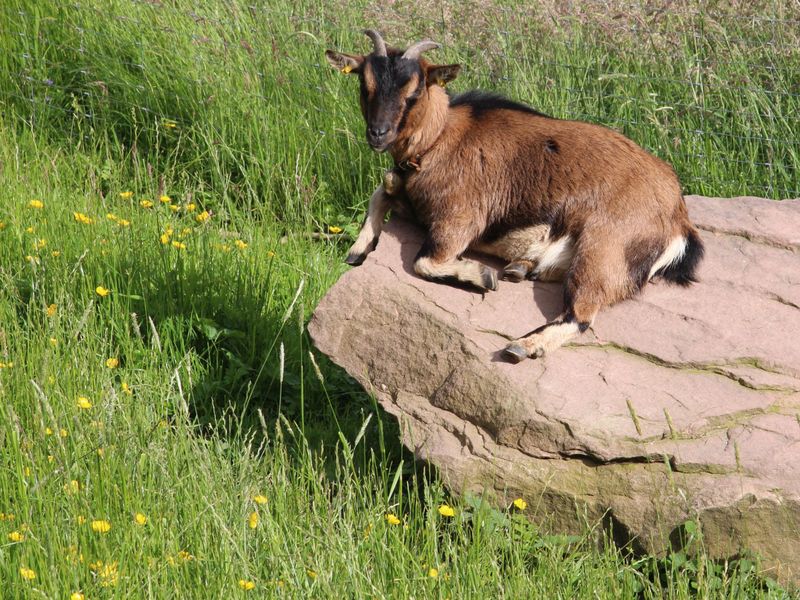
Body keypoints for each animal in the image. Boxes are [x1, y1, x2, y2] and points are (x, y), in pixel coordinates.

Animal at [324, 29, 700, 360]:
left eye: (414, 93)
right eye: (365, 86)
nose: (378, 133)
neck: (440, 137)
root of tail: (678, 217)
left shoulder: (458, 219)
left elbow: (423, 262)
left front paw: (482, 275)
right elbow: (380, 191)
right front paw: (357, 251)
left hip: (606, 248)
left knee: (581, 313)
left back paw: (522, 345)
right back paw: (522, 267)